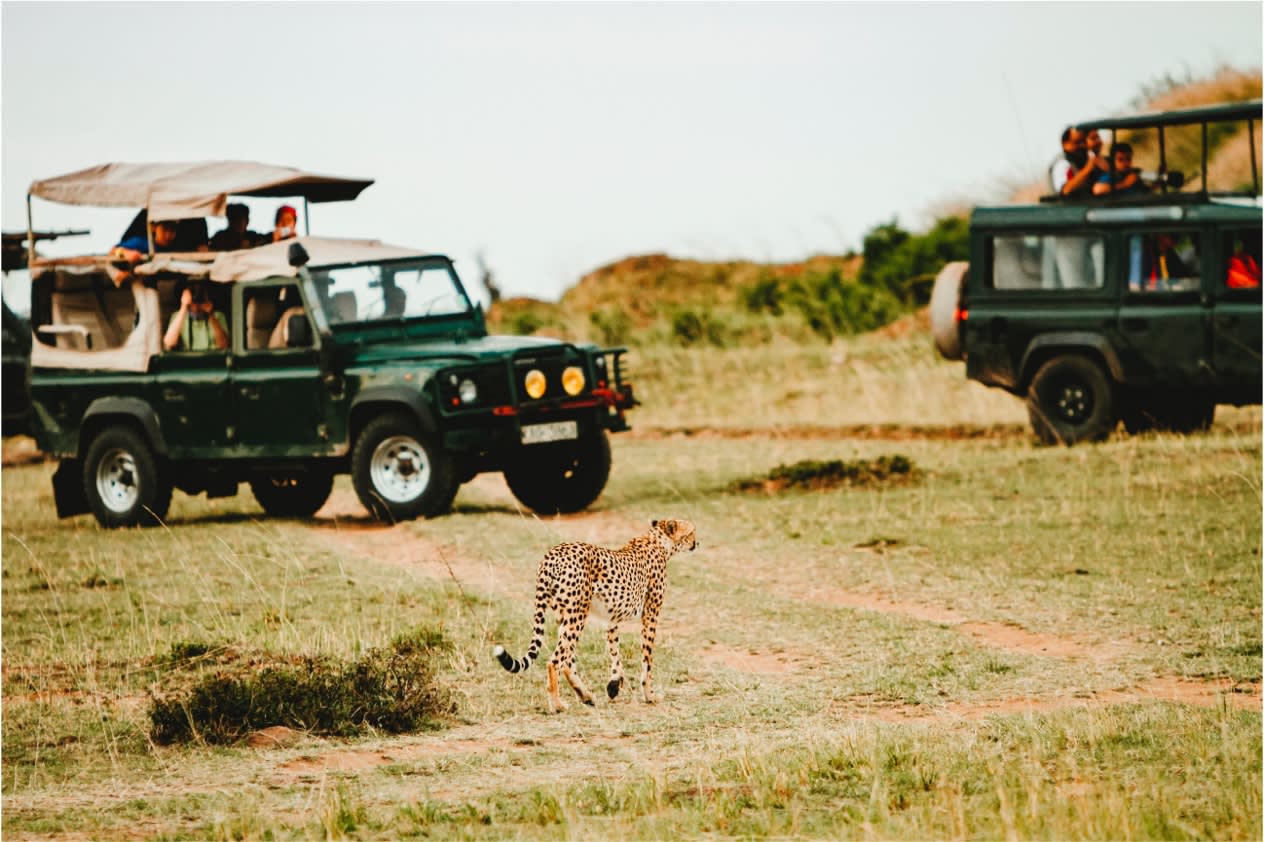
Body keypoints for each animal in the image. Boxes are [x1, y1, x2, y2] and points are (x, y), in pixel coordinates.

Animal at [490, 518, 697, 707]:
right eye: (691, 532)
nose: (697, 542)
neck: (658, 541)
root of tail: (552, 554)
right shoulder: (651, 614)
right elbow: (647, 659)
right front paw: (649, 695)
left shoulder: (612, 618)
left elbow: (615, 651)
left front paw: (614, 685)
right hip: (577, 614)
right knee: (556, 661)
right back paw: (557, 705)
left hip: (564, 614)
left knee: (567, 660)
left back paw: (585, 696)